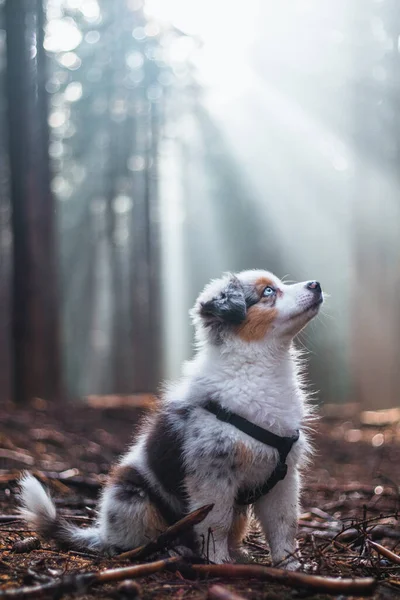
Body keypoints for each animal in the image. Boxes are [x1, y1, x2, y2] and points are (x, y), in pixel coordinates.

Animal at [18, 270, 324, 568]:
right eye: (268, 291)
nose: (317, 284)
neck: (257, 369)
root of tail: (101, 532)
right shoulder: (212, 475)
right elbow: (216, 524)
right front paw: (217, 562)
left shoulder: (284, 477)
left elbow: (284, 526)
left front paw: (292, 566)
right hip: (132, 499)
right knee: (137, 542)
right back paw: (173, 551)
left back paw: (237, 555)